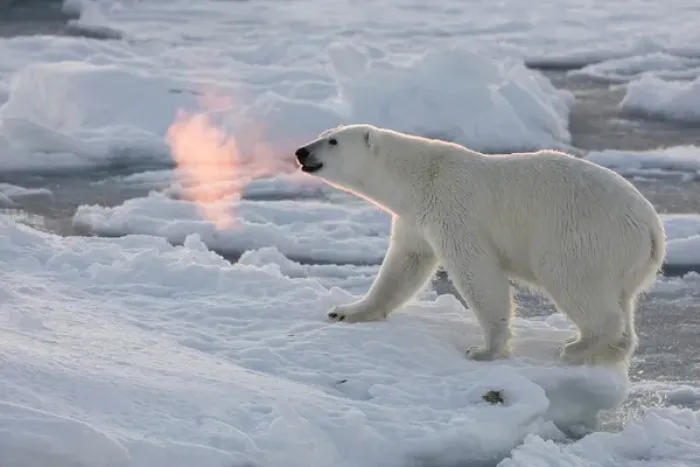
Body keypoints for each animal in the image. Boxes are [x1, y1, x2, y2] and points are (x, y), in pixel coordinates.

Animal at [294, 124, 666, 365]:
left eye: (332, 140)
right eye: (325, 134)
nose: (301, 150)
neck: (418, 176)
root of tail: (652, 229)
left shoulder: (453, 209)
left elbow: (477, 273)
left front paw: (485, 350)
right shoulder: (416, 219)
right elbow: (404, 264)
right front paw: (347, 310)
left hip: (583, 236)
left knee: (573, 281)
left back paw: (578, 346)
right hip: (623, 259)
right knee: (622, 299)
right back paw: (615, 348)